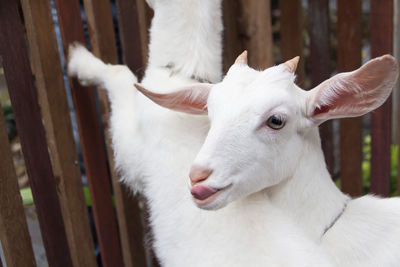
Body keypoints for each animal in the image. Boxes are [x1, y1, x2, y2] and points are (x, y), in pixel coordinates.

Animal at [69, 0, 400, 267]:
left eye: (276, 120)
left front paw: (78, 60)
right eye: (211, 112)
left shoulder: (133, 153)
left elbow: (119, 75)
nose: (198, 178)